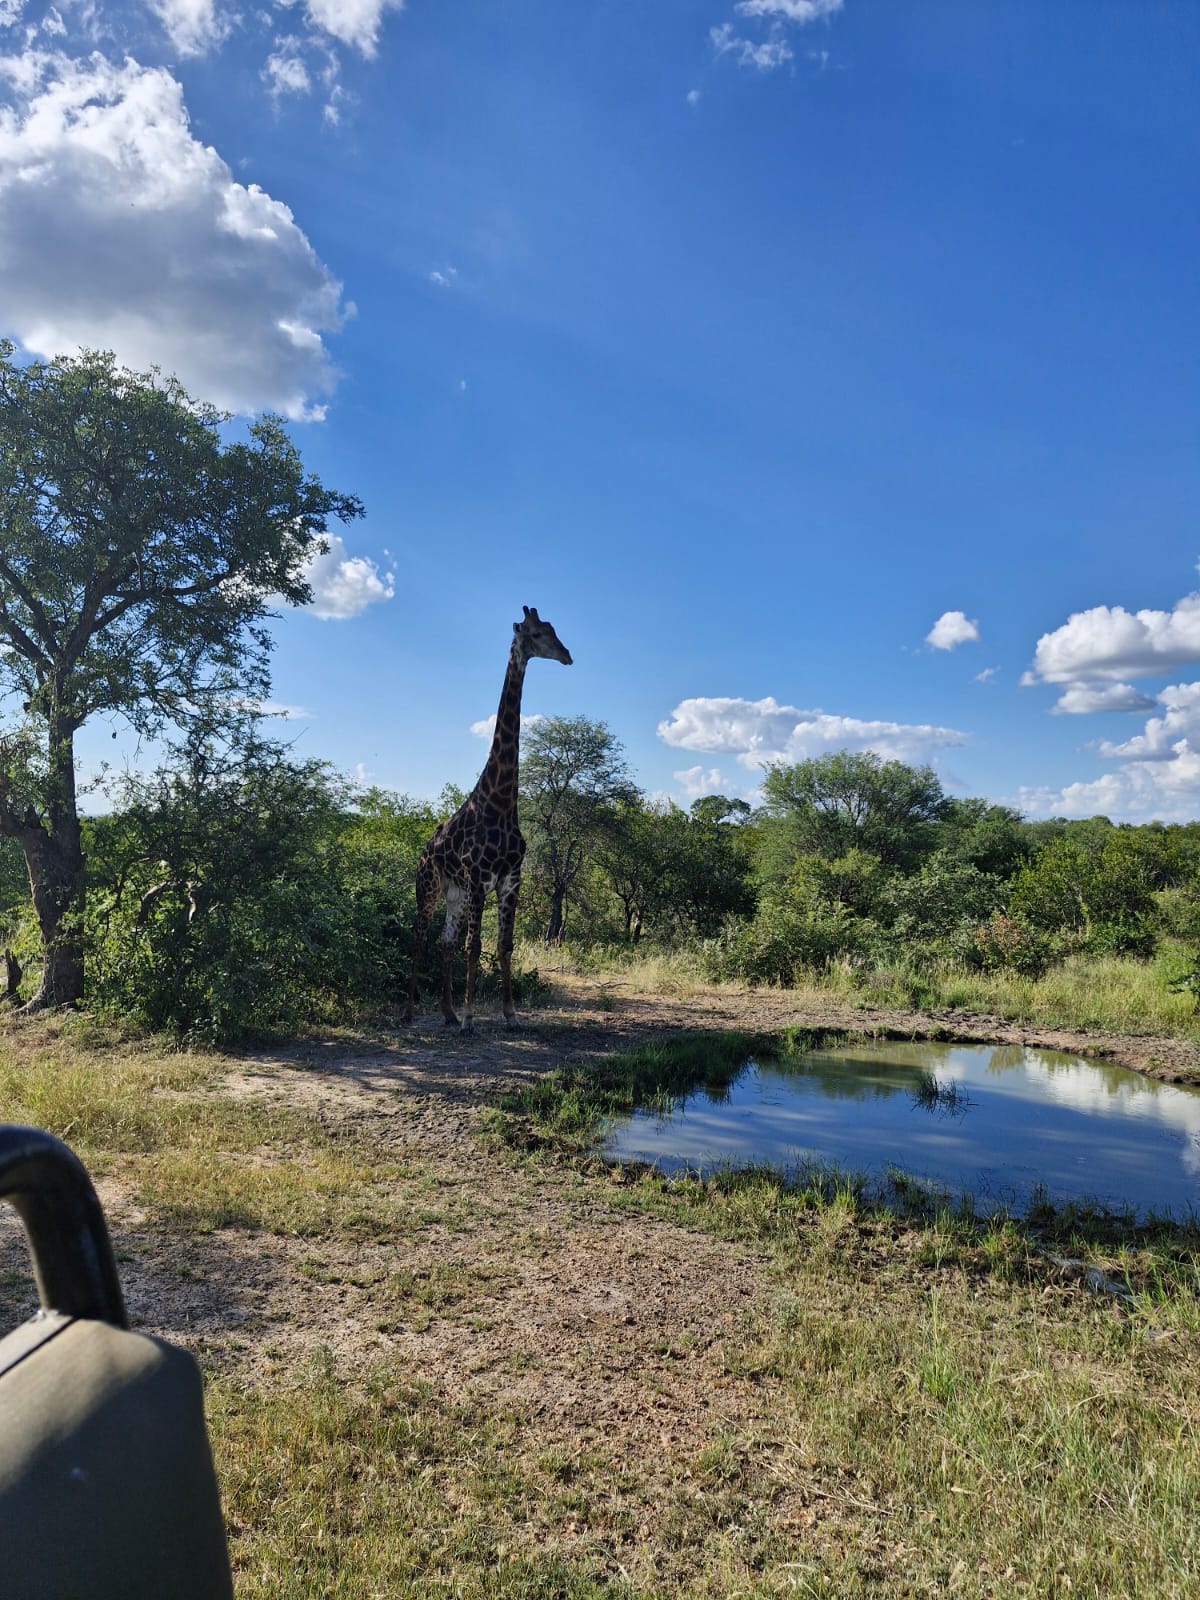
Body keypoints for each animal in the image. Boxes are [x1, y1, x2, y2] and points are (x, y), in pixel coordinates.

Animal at [404, 606, 572, 1033]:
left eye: (554, 629)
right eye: (535, 633)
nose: (567, 655)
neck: (501, 802)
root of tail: (422, 851)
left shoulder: (510, 879)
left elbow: (503, 945)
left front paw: (510, 1015)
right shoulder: (481, 877)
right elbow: (475, 945)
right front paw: (469, 1019)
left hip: (456, 894)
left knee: (445, 939)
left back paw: (446, 1013)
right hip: (429, 886)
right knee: (421, 937)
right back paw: (410, 1011)